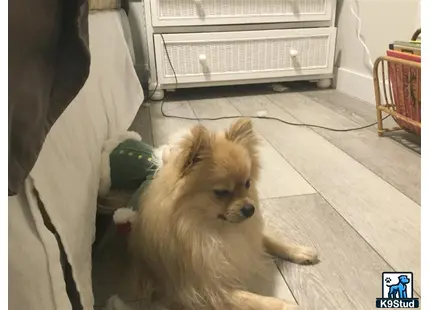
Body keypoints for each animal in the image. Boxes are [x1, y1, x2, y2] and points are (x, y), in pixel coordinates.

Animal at [129, 118, 318, 310]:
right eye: (221, 192)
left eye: (248, 183)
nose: (250, 209)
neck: (214, 230)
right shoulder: (205, 290)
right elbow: (251, 299)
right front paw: (288, 305)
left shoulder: (249, 235)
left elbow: (269, 240)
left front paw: (299, 251)